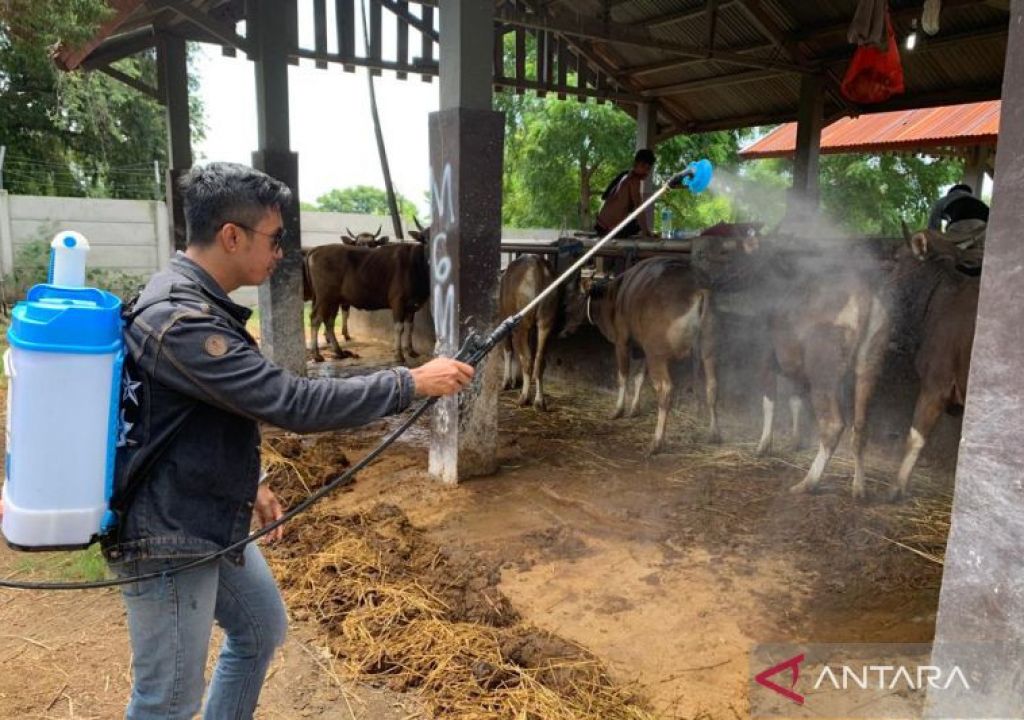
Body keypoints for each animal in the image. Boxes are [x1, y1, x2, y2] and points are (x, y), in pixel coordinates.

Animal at [303, 237, 432, 362]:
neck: (415, 264)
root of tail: (317, 249)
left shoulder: (412, 305)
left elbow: (410, 327)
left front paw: (411, 351)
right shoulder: (398, 302)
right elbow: (399, 328)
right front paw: (399, 355)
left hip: (333, 300)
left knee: (329, 321)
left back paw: (339, 352)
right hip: (324, 298)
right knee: (315, 319)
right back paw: (316, 354)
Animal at [573, 256, 724, 452]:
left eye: (578, 295)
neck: (614, 296)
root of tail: (698, 290)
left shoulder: (622, 342)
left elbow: (623, 376)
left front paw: (618, 410)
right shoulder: (642, 349)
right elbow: (639, 377)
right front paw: (634, 409)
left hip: (657, 355)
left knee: (665, 390)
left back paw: (657, 442)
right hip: (709, 350)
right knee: (712, 385)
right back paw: (714, 433)